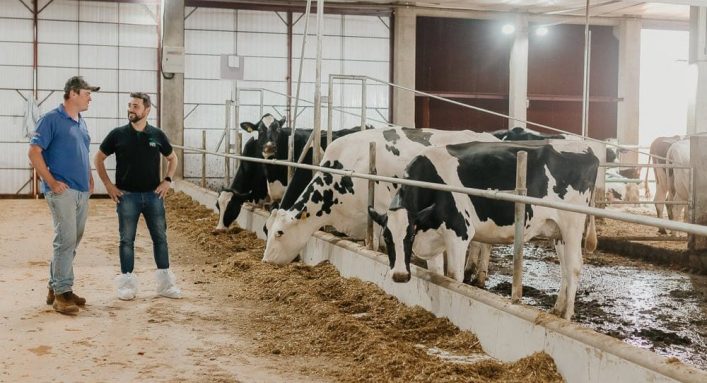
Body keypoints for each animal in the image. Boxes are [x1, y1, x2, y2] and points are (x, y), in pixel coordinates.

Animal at [260, 127, 498, 266]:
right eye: (266, 229)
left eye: (280, 233)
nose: (265, 260)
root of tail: (487, 135)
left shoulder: (378, 216)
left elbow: (375, 247)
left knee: (484, 245)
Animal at [370, 142, 596, 320]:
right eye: (387, 238)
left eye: (409, 236)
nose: (400, 275)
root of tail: (586, 149)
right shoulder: (432, 241)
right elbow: (437, 275)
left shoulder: (459, 233)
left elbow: (453, 277)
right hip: (558, 232)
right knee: (565, 267)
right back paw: (557, 309)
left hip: (572, 224)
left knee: (574, 266)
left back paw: (566, 315)